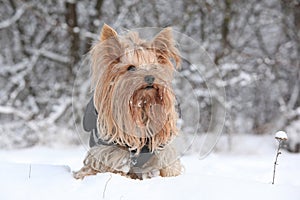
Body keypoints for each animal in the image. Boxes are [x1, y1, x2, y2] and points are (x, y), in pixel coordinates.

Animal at [74, 23, 183, 180]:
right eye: (131, 67)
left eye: (155, 67)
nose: (150, 77)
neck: (141, 108)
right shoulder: (111, 153)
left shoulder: (162, 153)